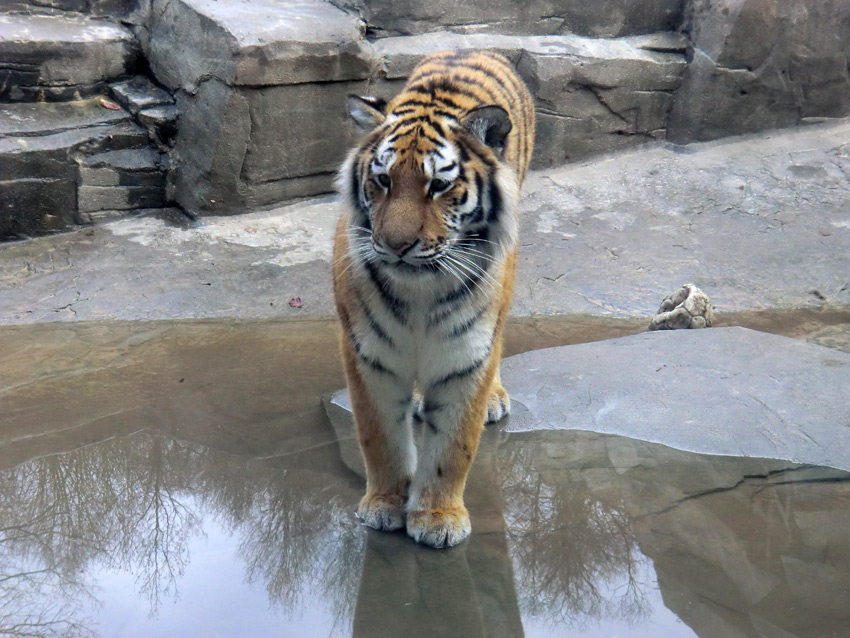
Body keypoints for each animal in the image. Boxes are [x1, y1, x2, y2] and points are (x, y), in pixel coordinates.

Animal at [330, 50, 528, 552]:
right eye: (382, 180)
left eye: (438, 185)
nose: (395, 245)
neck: (420, 289)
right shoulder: (368, 353)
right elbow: (379, 438)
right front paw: (384, 505)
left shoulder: (466, 356)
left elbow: (454, 447)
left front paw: (438, 517)